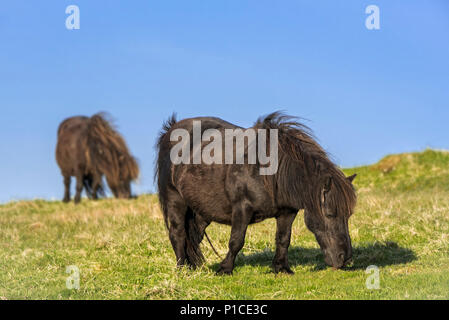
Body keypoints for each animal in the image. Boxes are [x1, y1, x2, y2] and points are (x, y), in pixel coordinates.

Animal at [156, 112, 356, 276]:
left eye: (348, 215)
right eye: (330, 214)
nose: (345, 259)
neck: (270, 170)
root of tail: (171, 130)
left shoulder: (287, 212)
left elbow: (283, 239)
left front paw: (281, 268)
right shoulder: (242, 208)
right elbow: (236, 240)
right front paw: (225, 269)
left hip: (202, 210)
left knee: (194, 236)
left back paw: (193, 268)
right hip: (175, 200)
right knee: (178, 234)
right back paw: (182, 269)